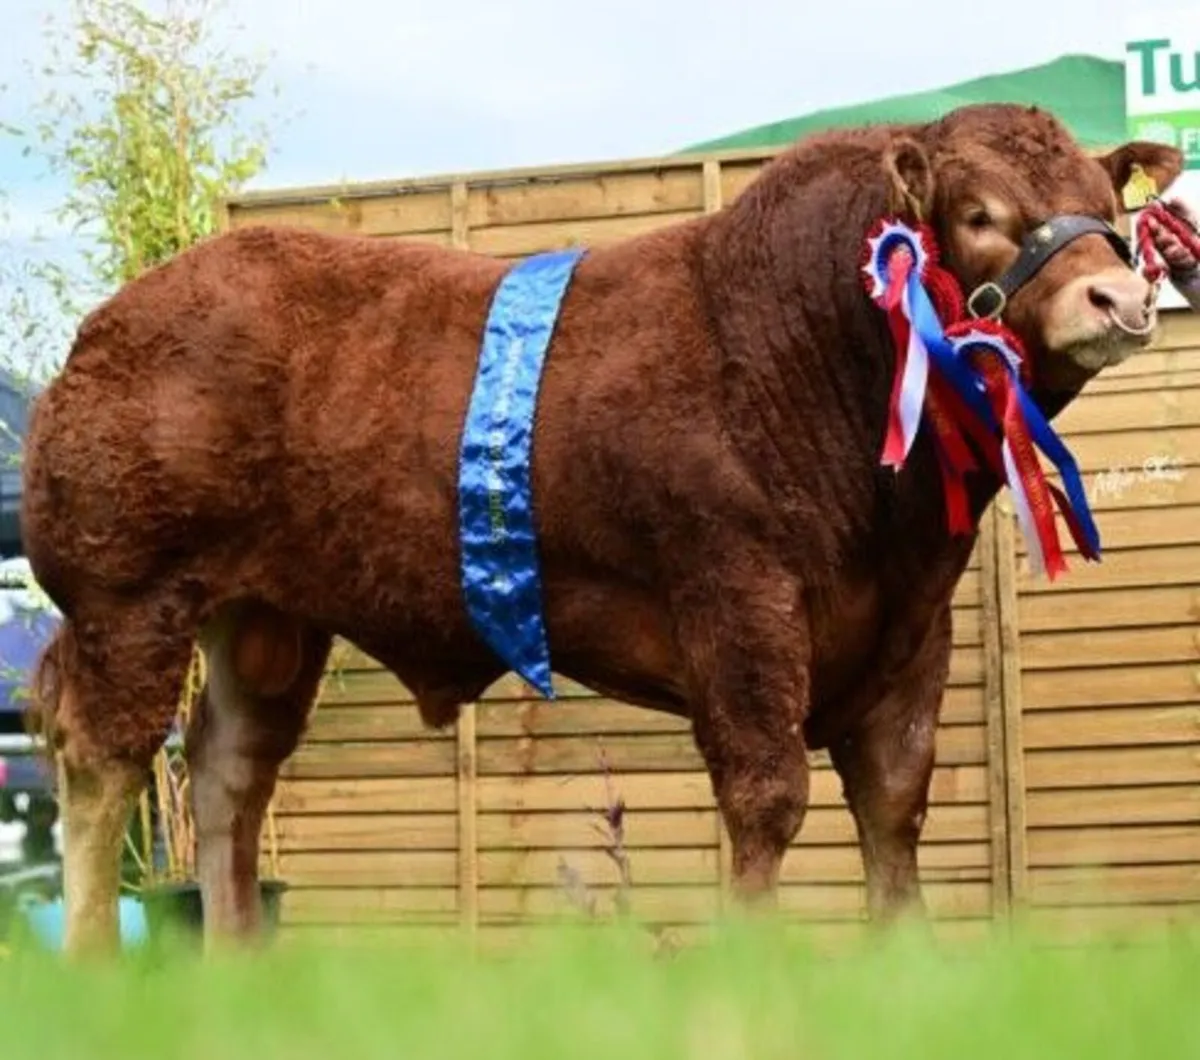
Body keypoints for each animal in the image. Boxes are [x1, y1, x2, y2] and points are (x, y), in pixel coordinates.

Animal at [20, 102, 1184, 957]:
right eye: (980, 212)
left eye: (1103, 205)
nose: (1119, 295)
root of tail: (116, 316)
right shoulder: (737, 597)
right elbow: (767, 796)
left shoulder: (912, 623)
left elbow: (894, 803)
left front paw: (906, 970)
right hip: (132, 595)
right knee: (103, 765)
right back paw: (96, 966)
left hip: (266, 618)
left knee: (227, 771)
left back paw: (233, 966)